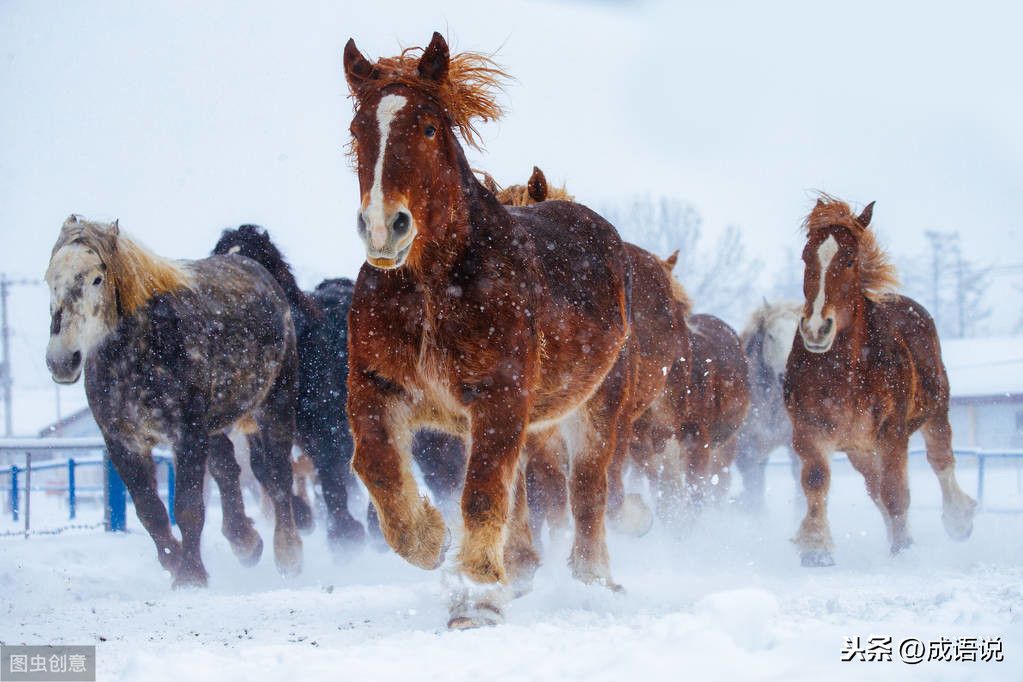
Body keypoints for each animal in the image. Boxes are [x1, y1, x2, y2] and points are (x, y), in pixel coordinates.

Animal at [46, 217, 300, 588]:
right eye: (50, 279)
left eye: (96, 278)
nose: (62, 360)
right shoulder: (122, 442)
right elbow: (150, 510)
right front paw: (175, 562)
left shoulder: (187, 435)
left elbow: (188, 506)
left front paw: (191, 577)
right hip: (216, 422)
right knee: (227, 469)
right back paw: (245, 542)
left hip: (273, 405)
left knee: (278, 474)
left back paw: (288, 554)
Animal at [785, 196, 977, 564]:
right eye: (805, 256)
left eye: (849, 259)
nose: (816, 329)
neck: (846, 372)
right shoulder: (809, 430)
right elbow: (816, 481)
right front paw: (816, 548)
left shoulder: (892, 432)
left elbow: (895, 491)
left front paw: (903, 550)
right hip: (859, 449)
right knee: (874, 486)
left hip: (935, 412)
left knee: (940, 460)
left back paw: (959, 520)